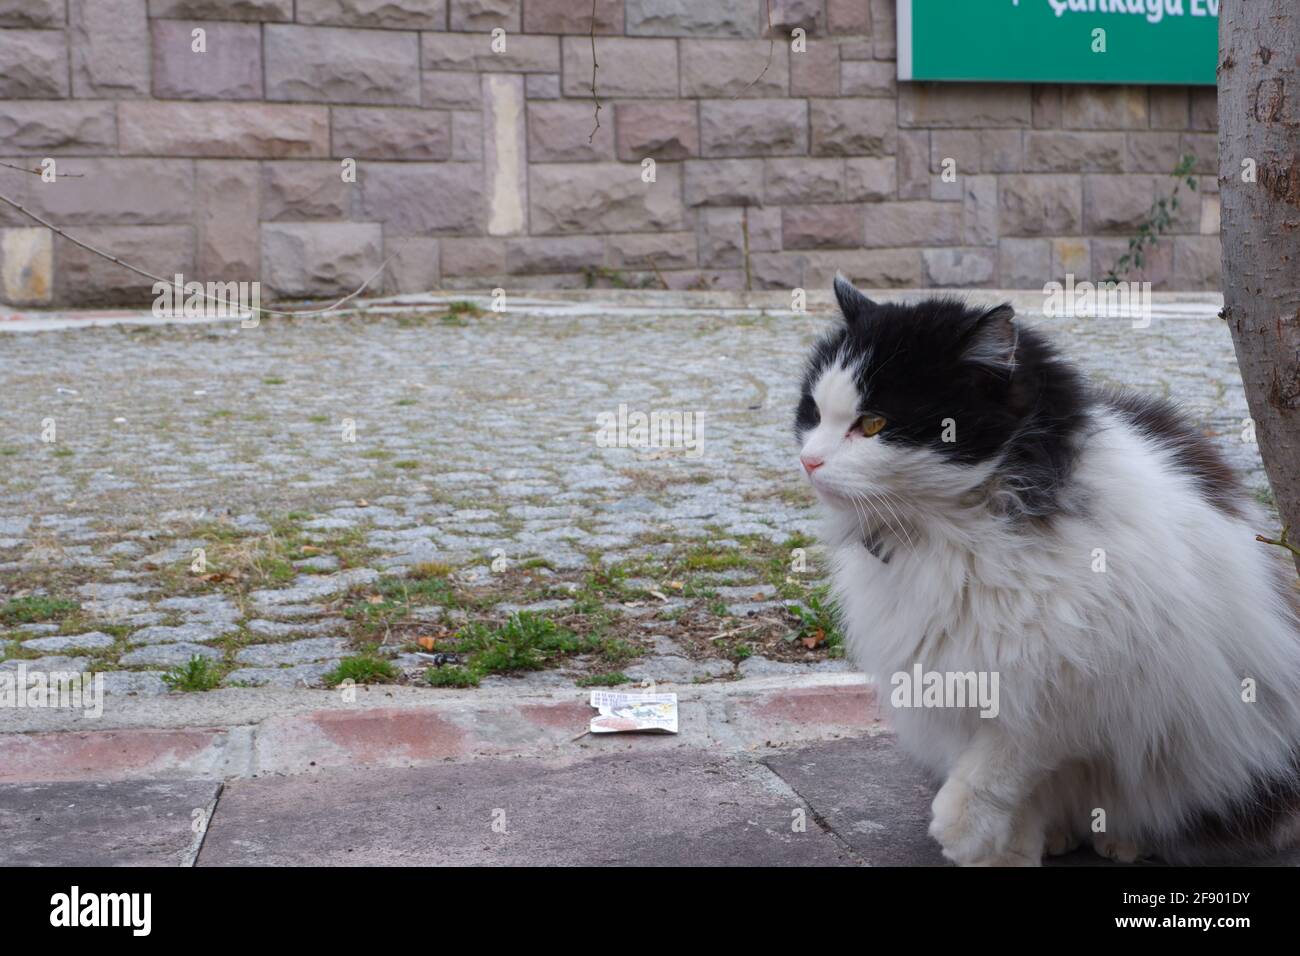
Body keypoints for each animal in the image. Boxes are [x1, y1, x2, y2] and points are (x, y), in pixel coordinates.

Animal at [790, 277, 1300, 868]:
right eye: (813, 413)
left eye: (872, 425)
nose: (808, 461)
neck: (955, 532)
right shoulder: (949, 669)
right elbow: (1008, 779)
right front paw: (1006, 850)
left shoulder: (1075, 677)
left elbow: (1010, 752)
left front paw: (962, 826)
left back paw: (1120, 841)